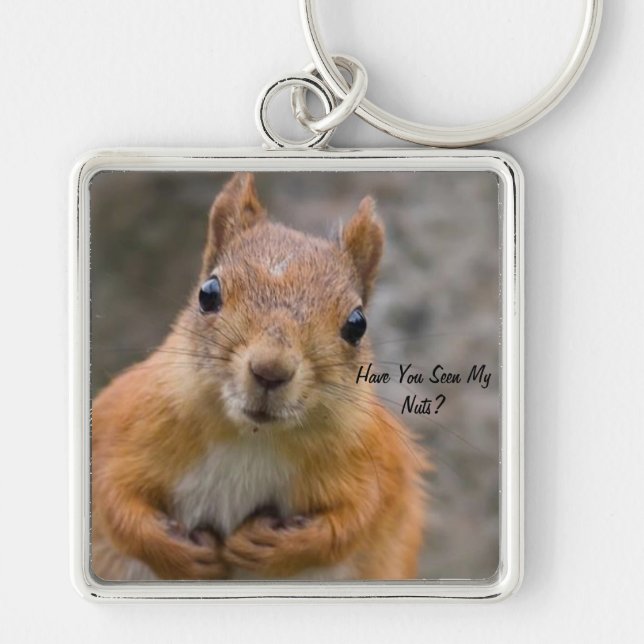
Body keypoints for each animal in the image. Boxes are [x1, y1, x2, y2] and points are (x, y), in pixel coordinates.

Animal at [91, 173, 427, 581]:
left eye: (357, 324)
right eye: (208, 294)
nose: (270, 370)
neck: (252, 438)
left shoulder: (375, 461)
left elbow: (354, 520)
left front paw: (272, 546)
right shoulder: (124, 428)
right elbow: (113, 499)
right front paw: (181, 553)